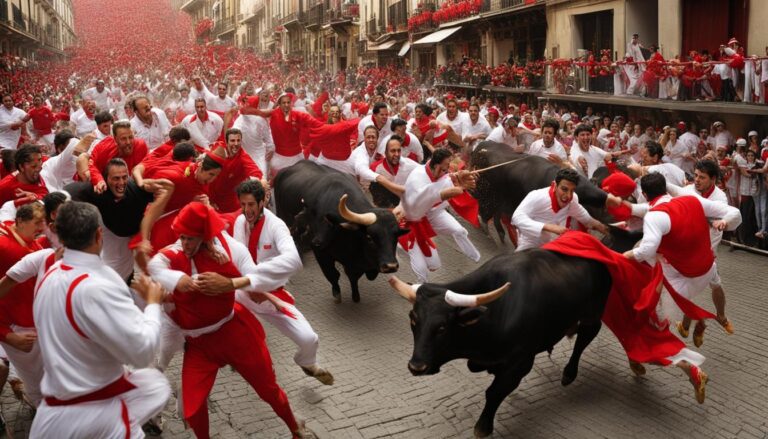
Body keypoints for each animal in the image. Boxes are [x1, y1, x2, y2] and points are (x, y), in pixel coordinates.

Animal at [274, 161, 408, 302]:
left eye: (396, 237)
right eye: (369, 237)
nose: (391, 266)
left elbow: (354, 277)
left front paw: (355, 295)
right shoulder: (320, 251)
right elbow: (333, 274)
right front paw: (337, 293)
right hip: (283, 215)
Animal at [390, 229, 640, 438]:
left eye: (442, 327)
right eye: (413, 319)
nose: (416, 366)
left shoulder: (520, 361)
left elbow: (494, 392)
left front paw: (483, 427)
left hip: (592, 314)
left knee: (585, 338)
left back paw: (569, 373)